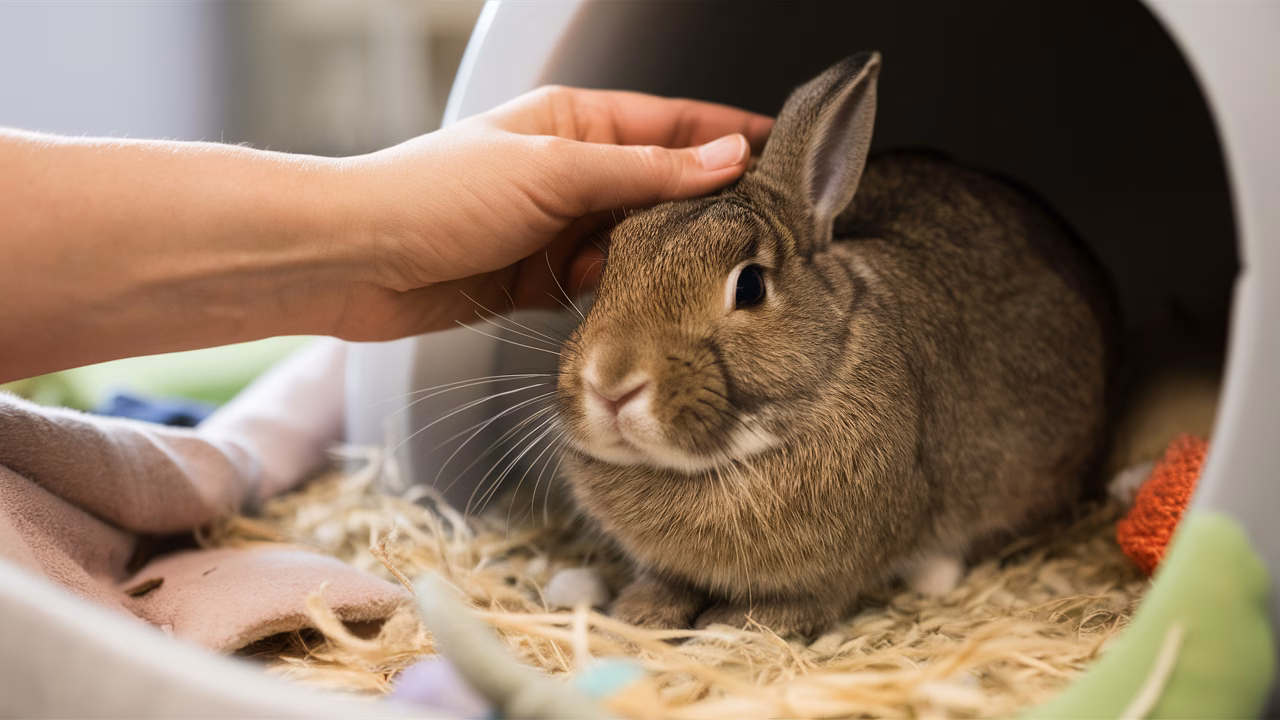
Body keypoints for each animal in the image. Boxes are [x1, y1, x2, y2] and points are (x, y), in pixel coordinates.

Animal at [553, 52, 1118, 636]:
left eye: (749, 286)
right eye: (611, 264)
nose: (611, 384)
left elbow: (808, 599)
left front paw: (735, 625)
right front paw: (642, 612)